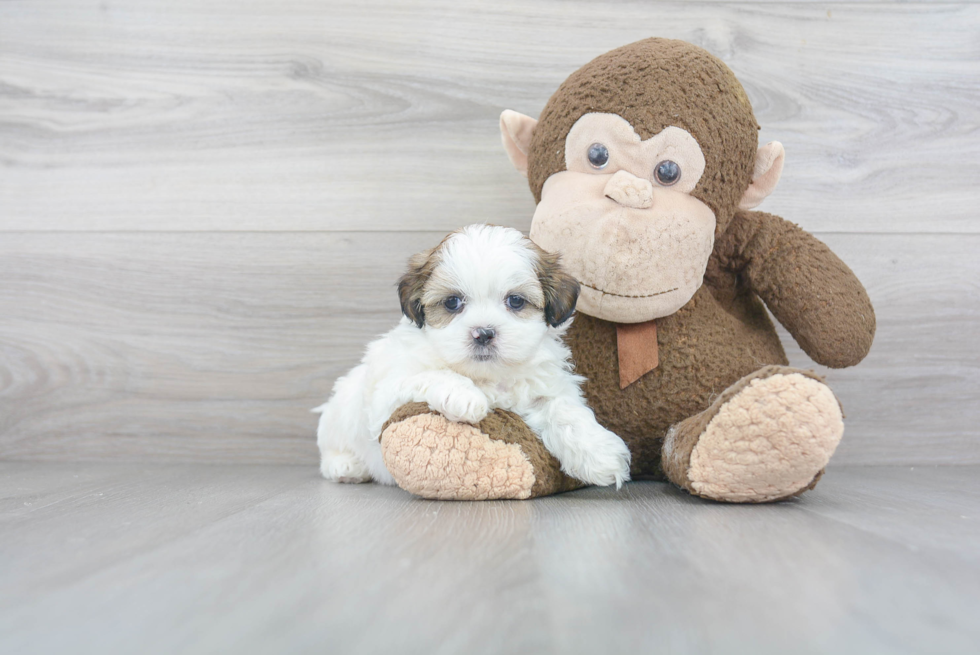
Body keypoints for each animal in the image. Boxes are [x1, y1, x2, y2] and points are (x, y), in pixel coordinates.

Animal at [316, 224, 636, 486]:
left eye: (515, 301)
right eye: (452, 302)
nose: (483, 333)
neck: (486, 376)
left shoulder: (545, 386)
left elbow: (564, 410)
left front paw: (599, 454)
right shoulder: (386, 394)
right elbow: (431, 374)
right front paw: (464, 396)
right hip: (342, 411)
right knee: (331, 444)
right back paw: (345, 466)